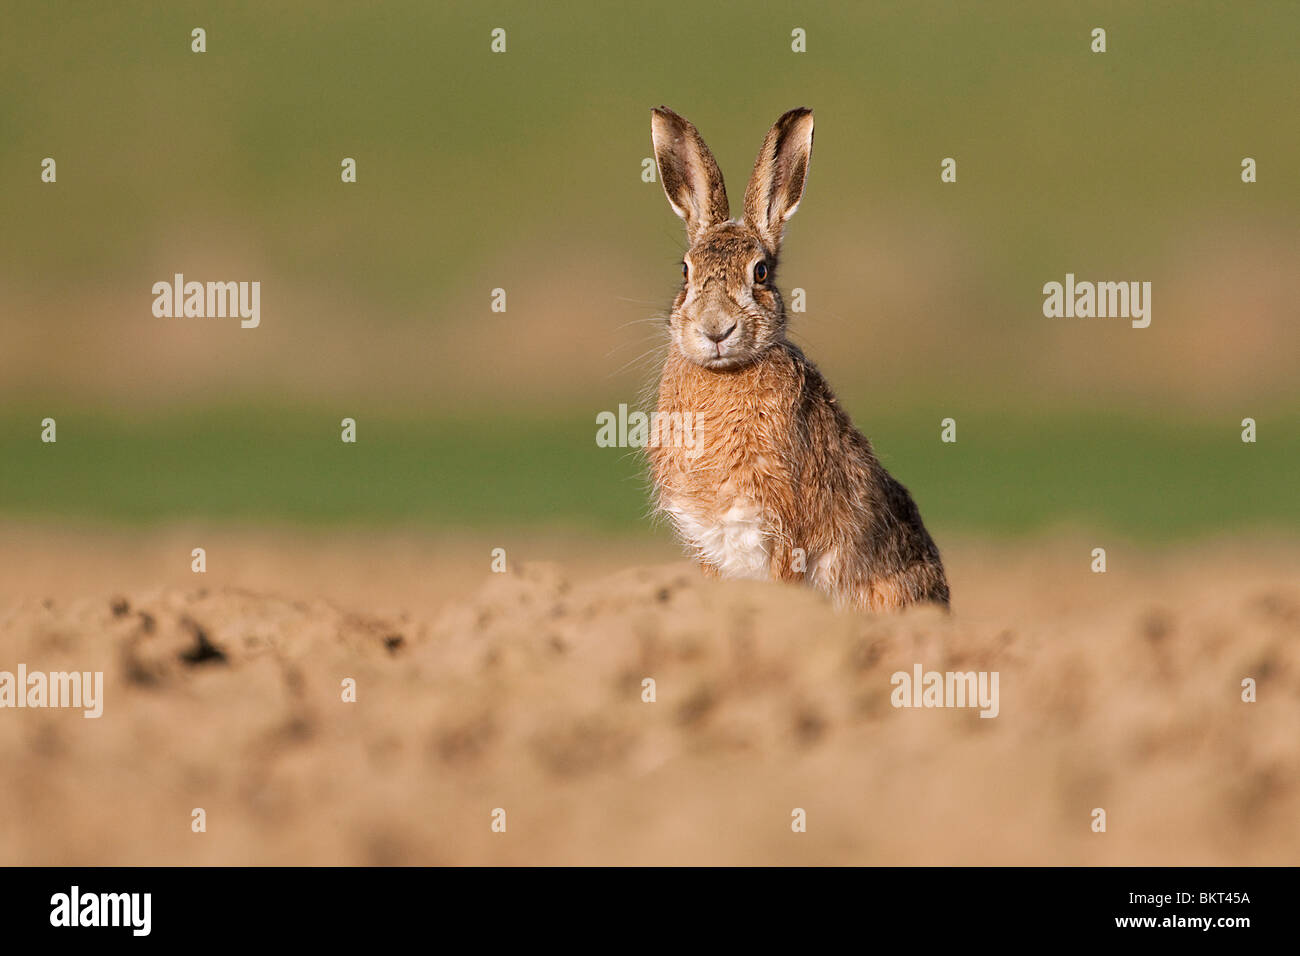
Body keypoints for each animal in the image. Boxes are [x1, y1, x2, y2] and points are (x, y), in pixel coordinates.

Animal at [646, 106, 950, 612]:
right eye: (685, 272)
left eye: (761, 272)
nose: (715, 329)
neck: (725, 374)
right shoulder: (707, 540)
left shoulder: (788, 531)